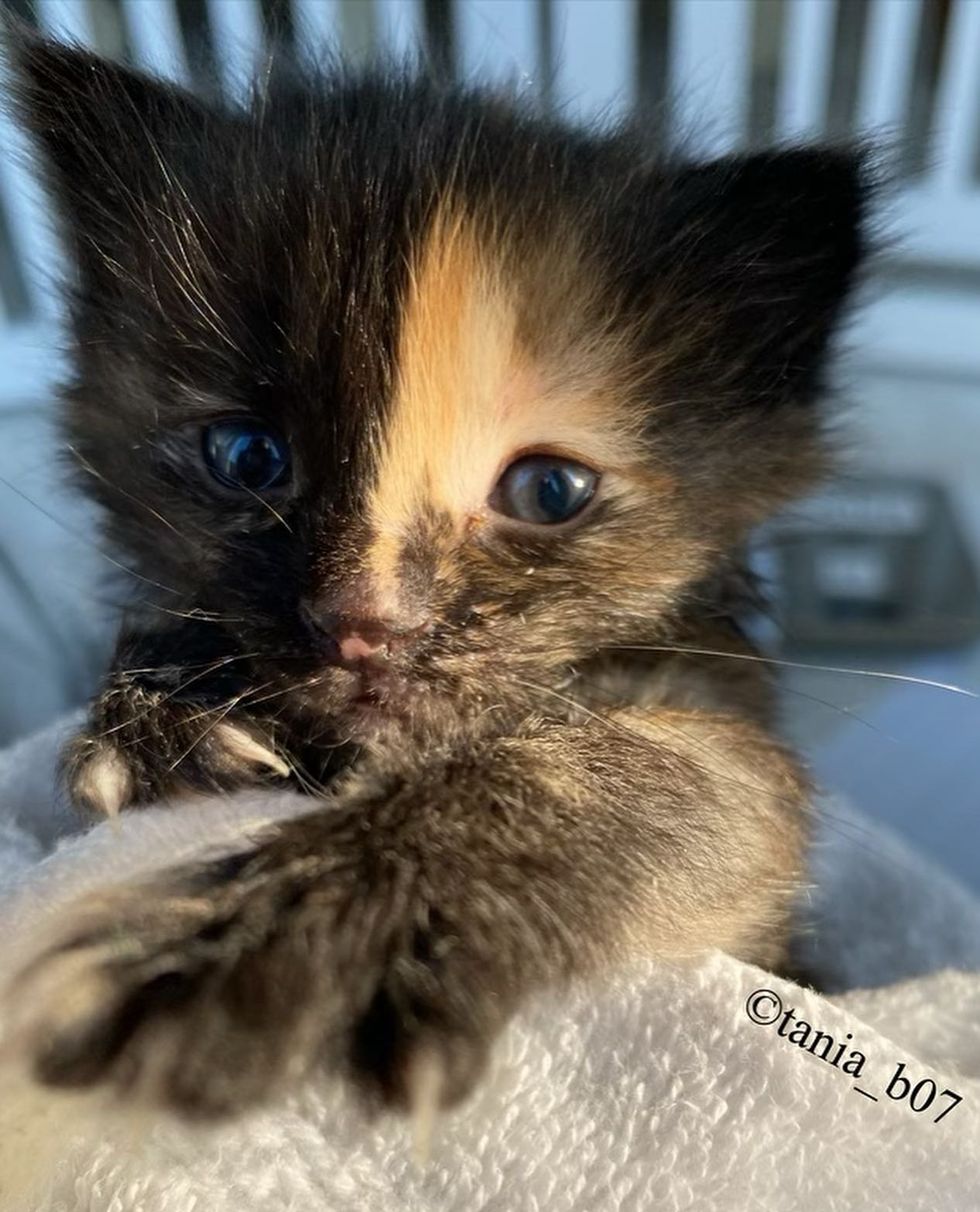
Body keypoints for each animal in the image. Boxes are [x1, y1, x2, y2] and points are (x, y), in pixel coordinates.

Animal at [5, 28, 862, 1119]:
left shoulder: (734, 740)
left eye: (548, 489)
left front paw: (286, 936)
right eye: (247, 456)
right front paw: (159, 716)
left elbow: (631, 777)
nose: (366, 622)